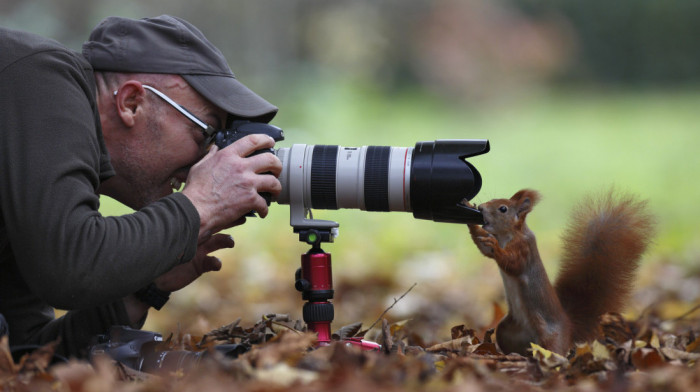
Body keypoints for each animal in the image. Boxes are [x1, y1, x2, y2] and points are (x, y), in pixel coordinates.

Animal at [468, 189, 652, 356]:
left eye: (503, 209)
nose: (482, 208)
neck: (507, 235)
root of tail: (569, 327)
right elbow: (485, 248)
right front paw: (469, 213)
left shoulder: (523, 249)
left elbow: (512, 263)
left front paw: (496, 247)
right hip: (506, 330)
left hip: (550, 337)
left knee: (554, 351)